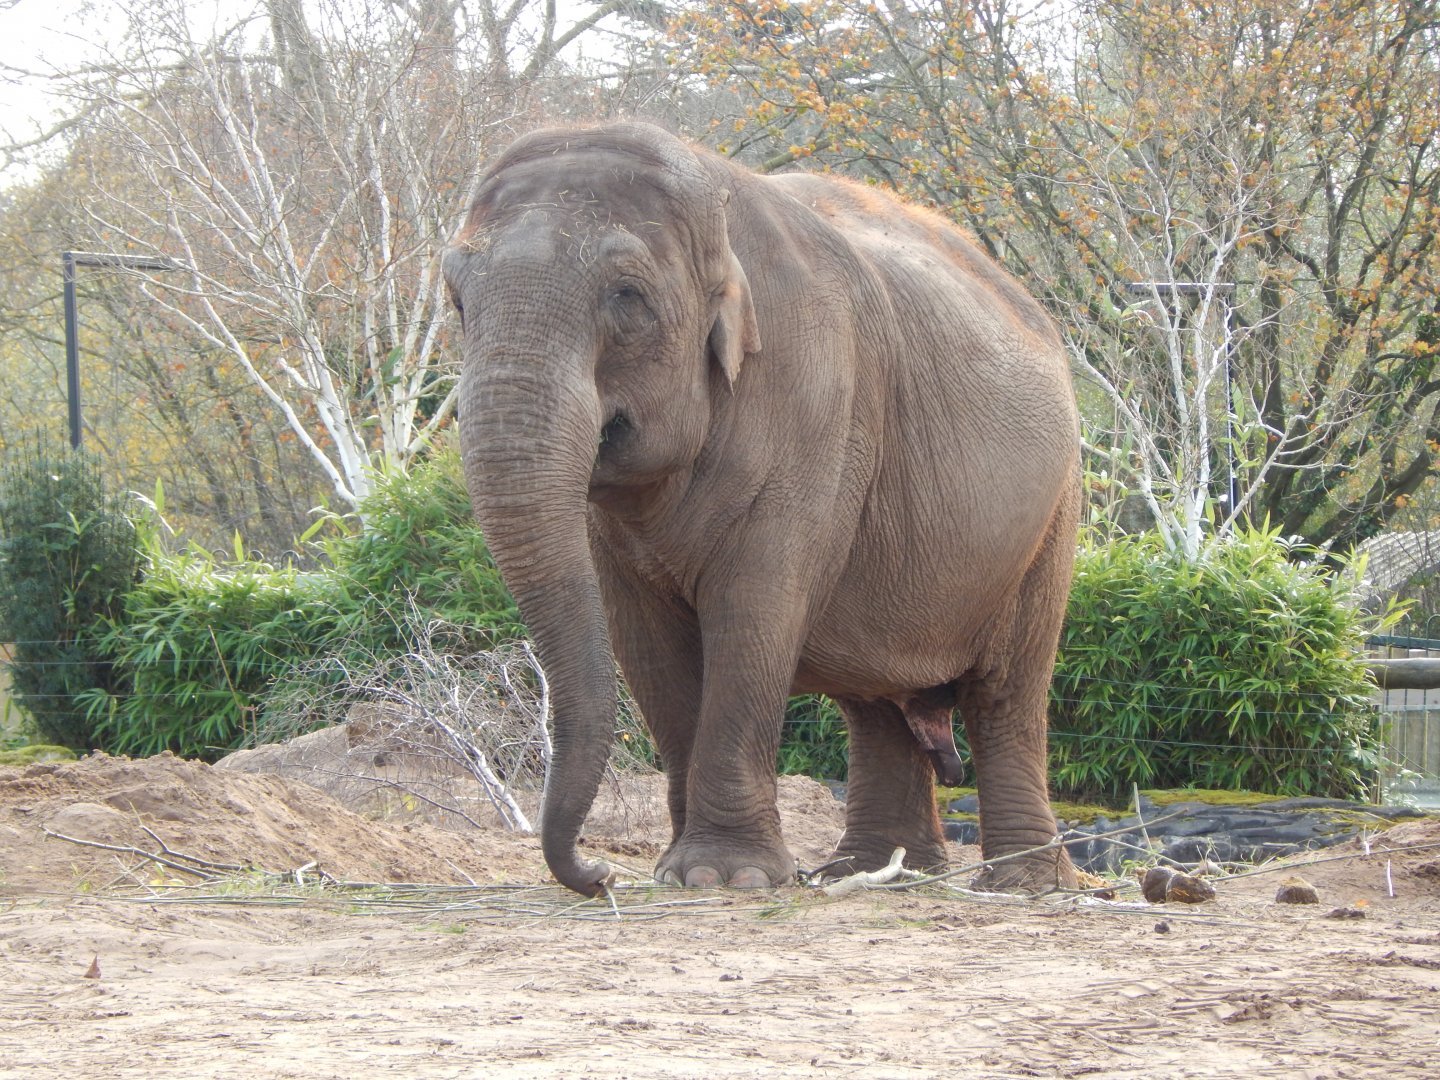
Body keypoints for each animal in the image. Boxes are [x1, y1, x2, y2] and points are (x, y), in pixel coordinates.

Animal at [442, 121, 1080, 897]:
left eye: (627, 295)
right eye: (458, 302)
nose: (599, 873)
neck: (715, 207)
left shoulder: (814, 401)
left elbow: (754, 607)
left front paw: (725, 877)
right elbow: (645, 643)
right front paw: (683, 874)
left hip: (1052, 514)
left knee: (1006, 692)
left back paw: (1023, 884)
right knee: (875, 703)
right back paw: (873, 870)